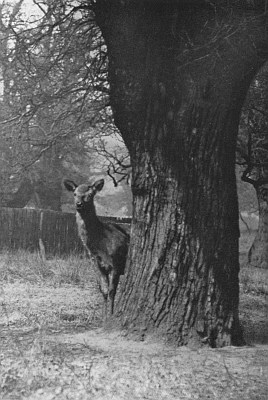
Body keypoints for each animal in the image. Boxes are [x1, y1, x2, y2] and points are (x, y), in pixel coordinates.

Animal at [63, 177, 129, 316]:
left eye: (90, 195)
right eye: (75, 193)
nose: (78, 204)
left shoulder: (116, 263)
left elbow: (112, 291)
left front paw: (110, 314)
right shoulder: (97, 264)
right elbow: (103, 290)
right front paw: (103, 314)